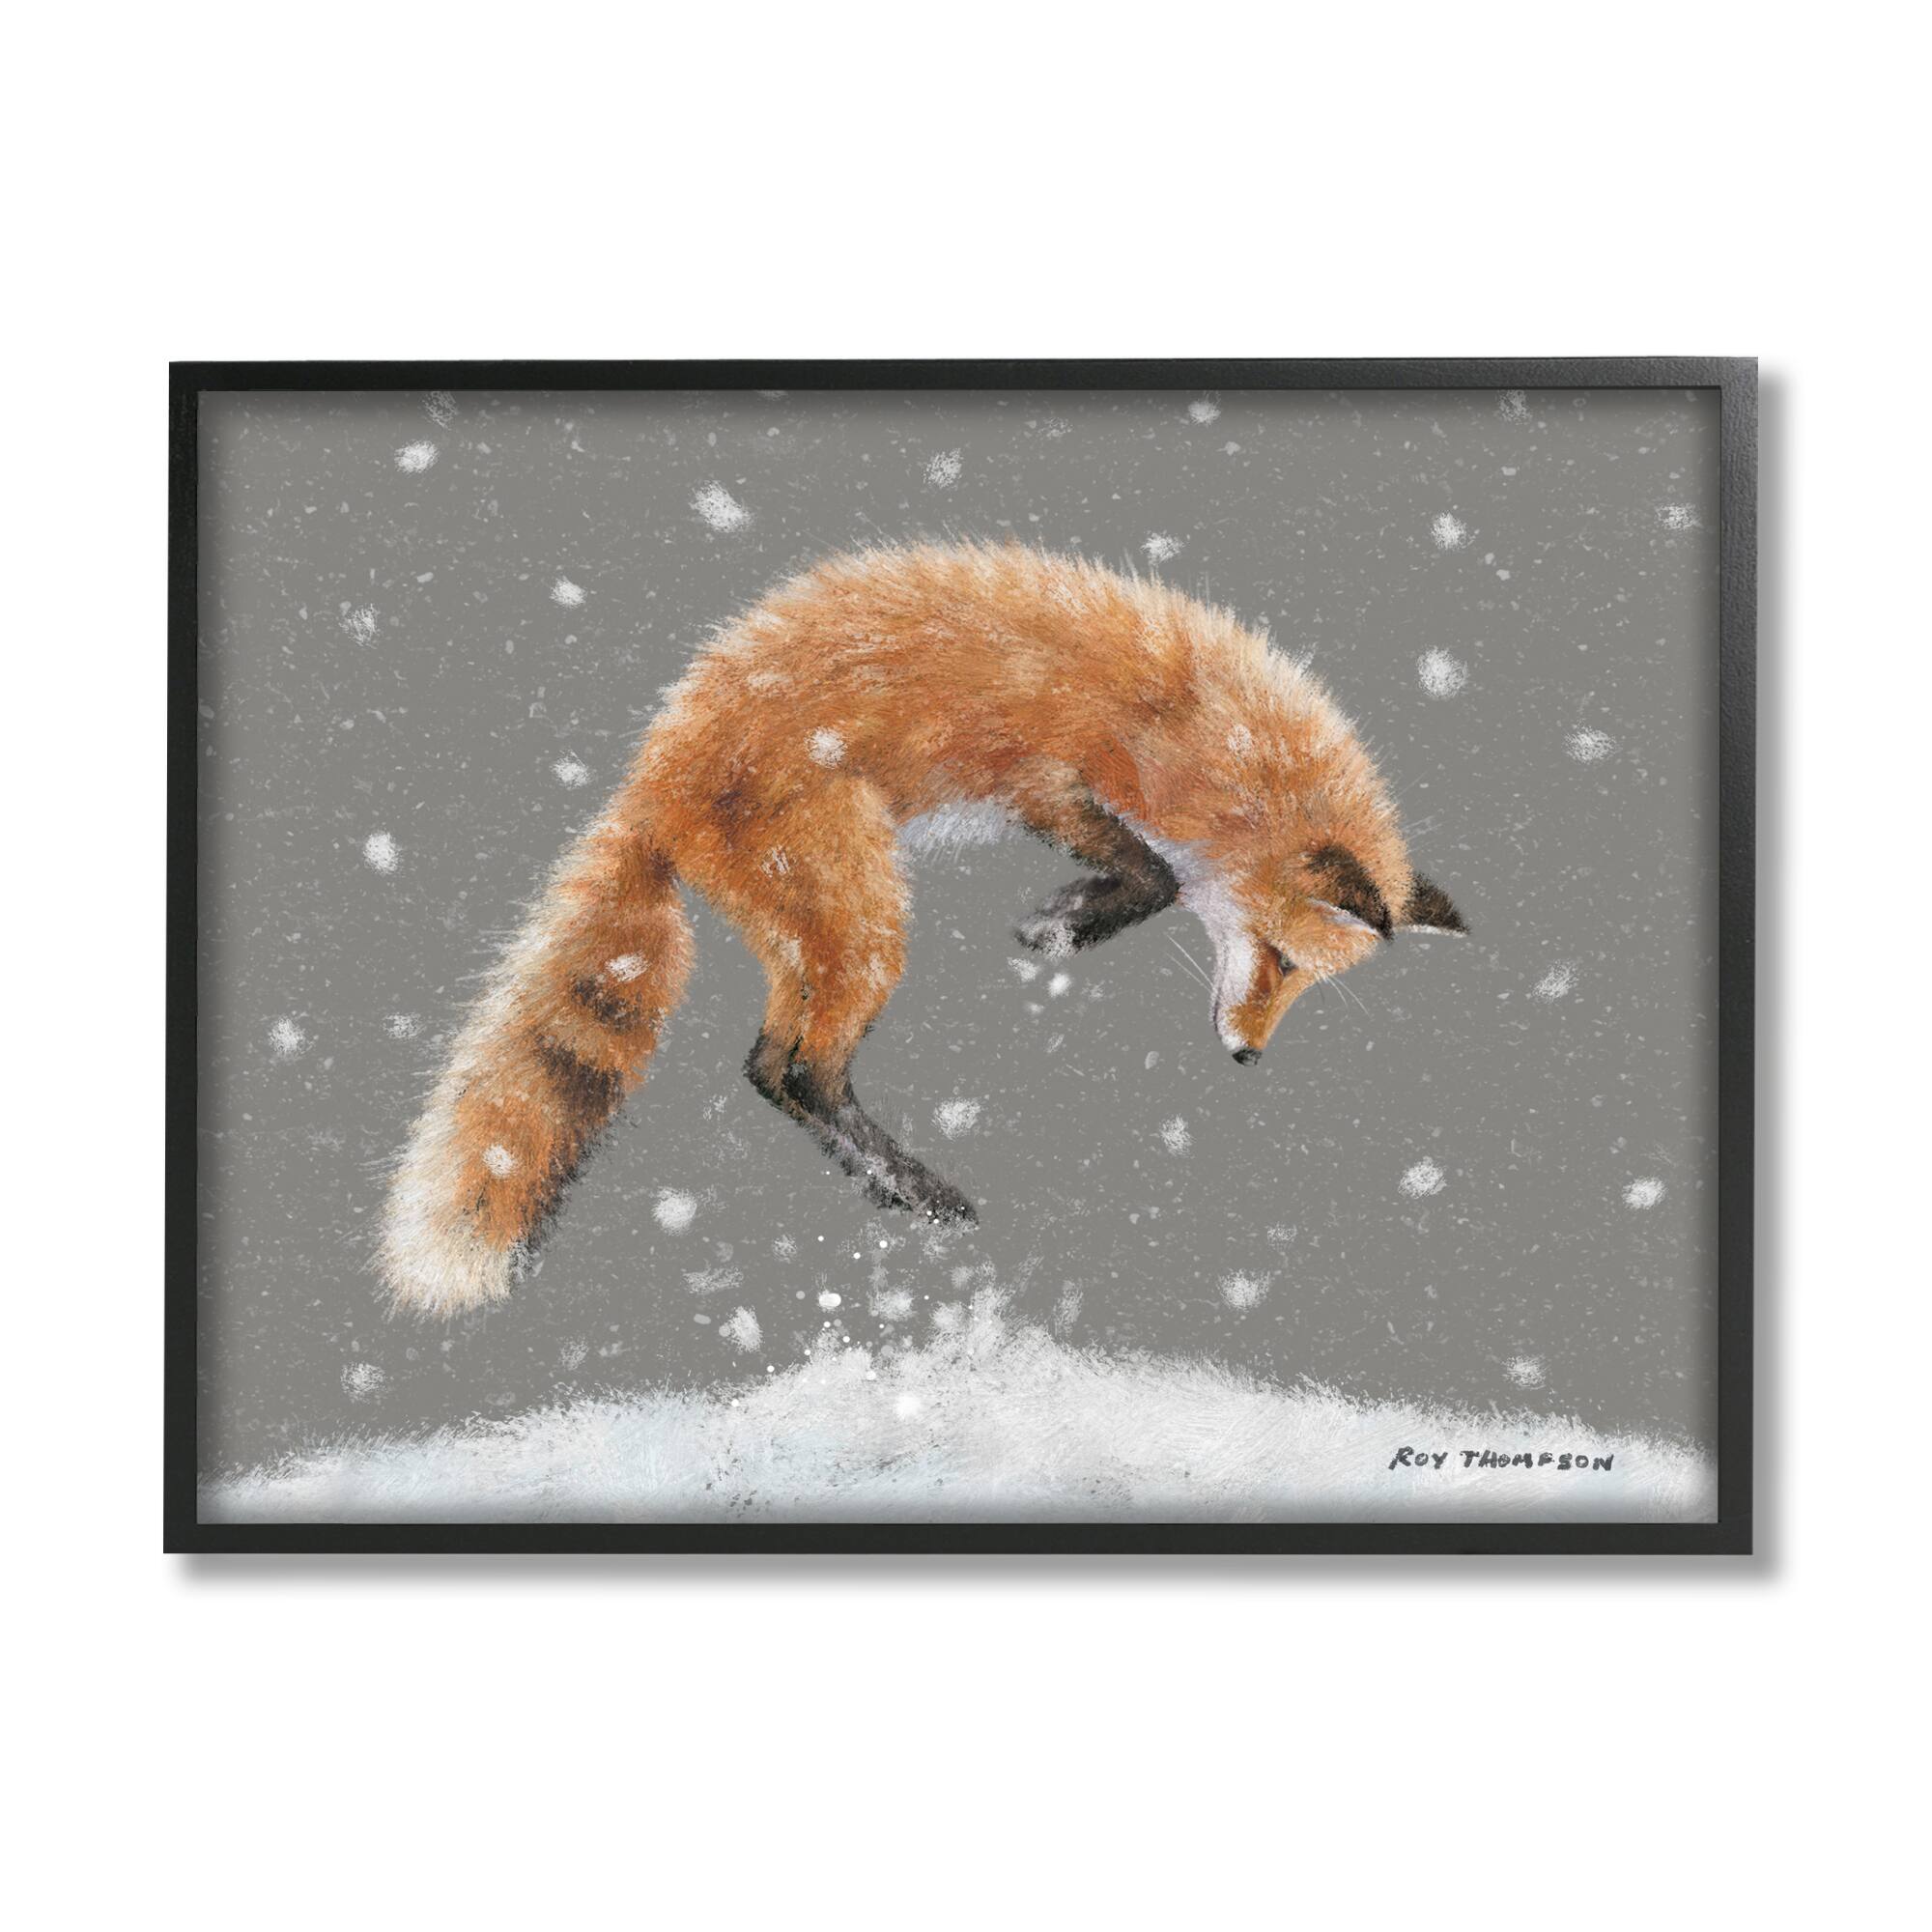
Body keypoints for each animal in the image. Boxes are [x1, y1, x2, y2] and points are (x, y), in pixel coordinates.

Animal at [378, 542, 1465, 1317]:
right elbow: (1153, 870)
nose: (1245, 1056)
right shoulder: (1054, 773)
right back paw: (912, 1186)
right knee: (797, 1067)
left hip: (819, 927)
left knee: (768, 1064)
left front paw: (1071, 920)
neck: (1210, 740)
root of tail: (658, 772)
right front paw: (1064, 924)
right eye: (1276, 957)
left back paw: (885, 1181)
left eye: (1304, 982)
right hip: (864, 916)